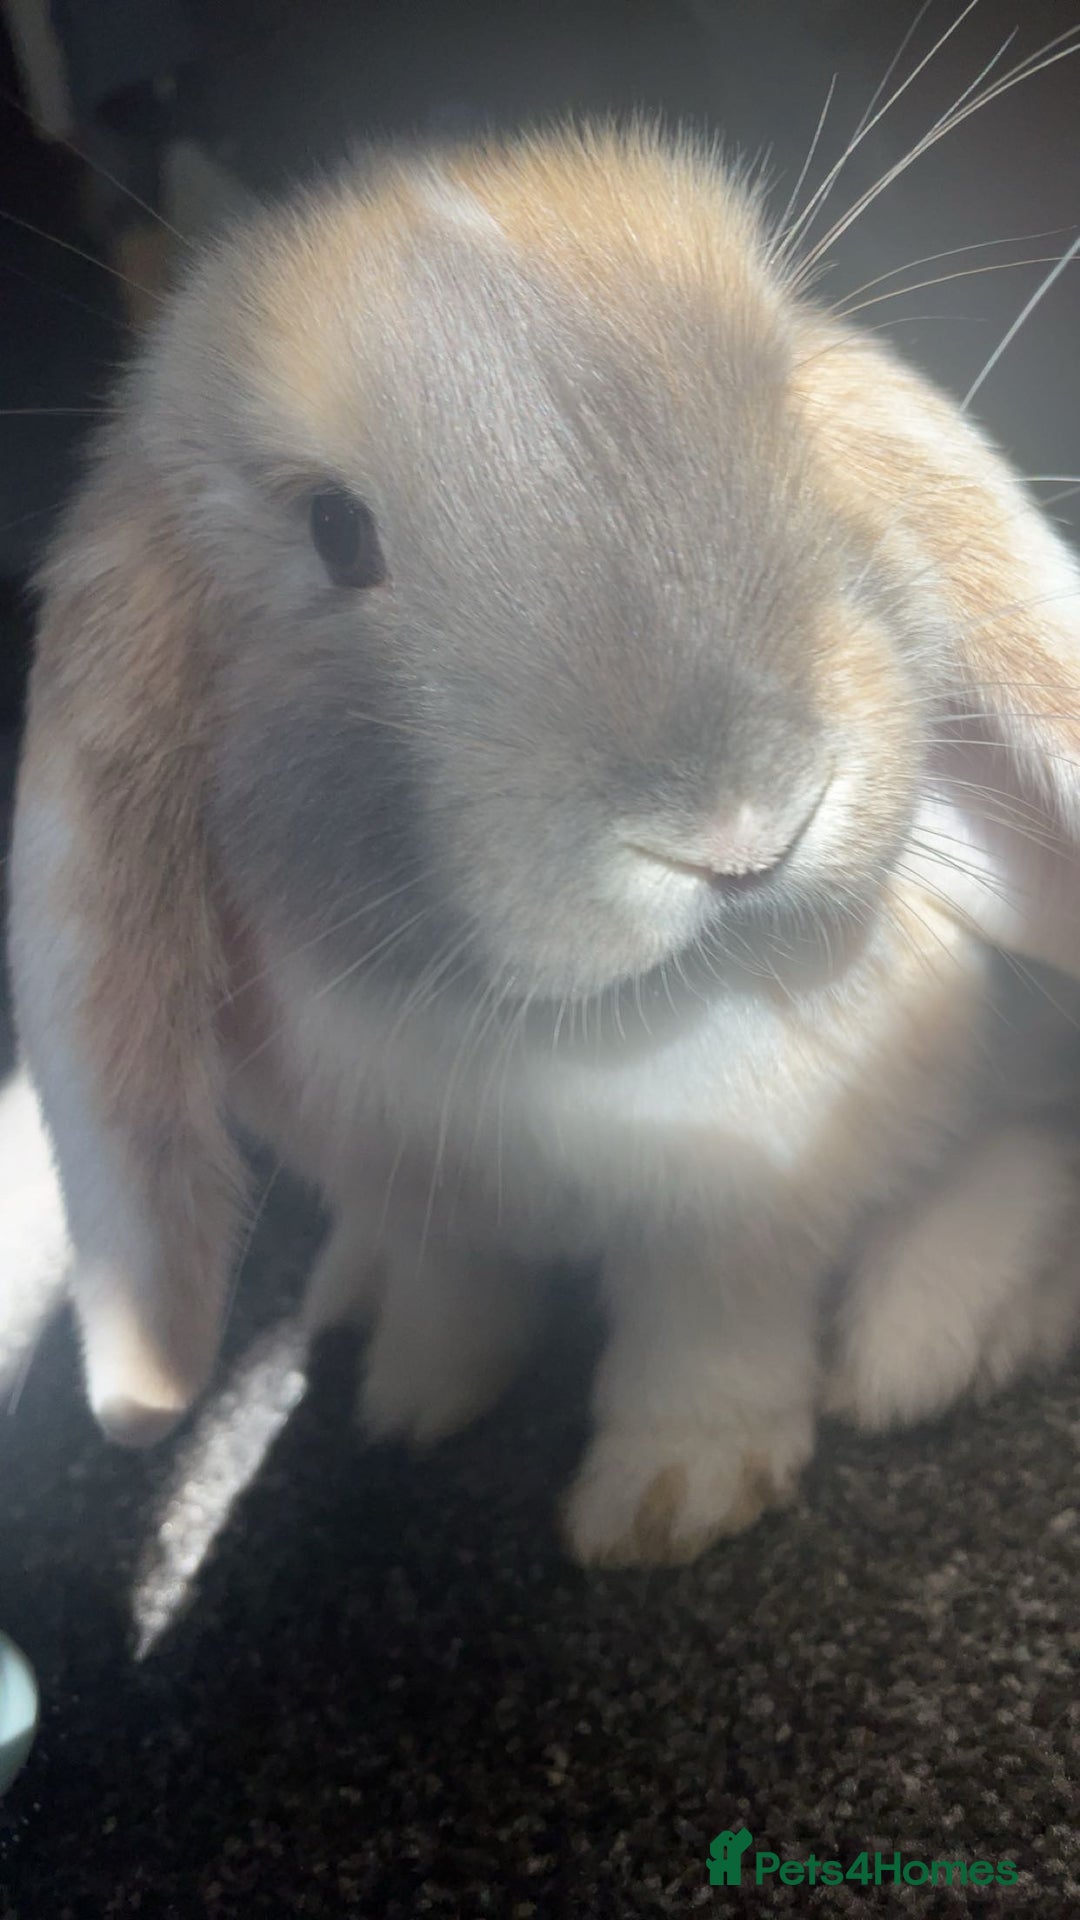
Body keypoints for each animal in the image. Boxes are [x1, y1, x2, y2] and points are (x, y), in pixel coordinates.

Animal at [9, 125, 1080, 1567]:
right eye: (334, 533)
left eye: (779, 398)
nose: (741, 822)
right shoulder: (419, 1187)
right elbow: (455, 1286)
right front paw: (418, 1399)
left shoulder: (748, 1214)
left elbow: (707, 1336)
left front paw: (668, 1502)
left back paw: (923, 1337)